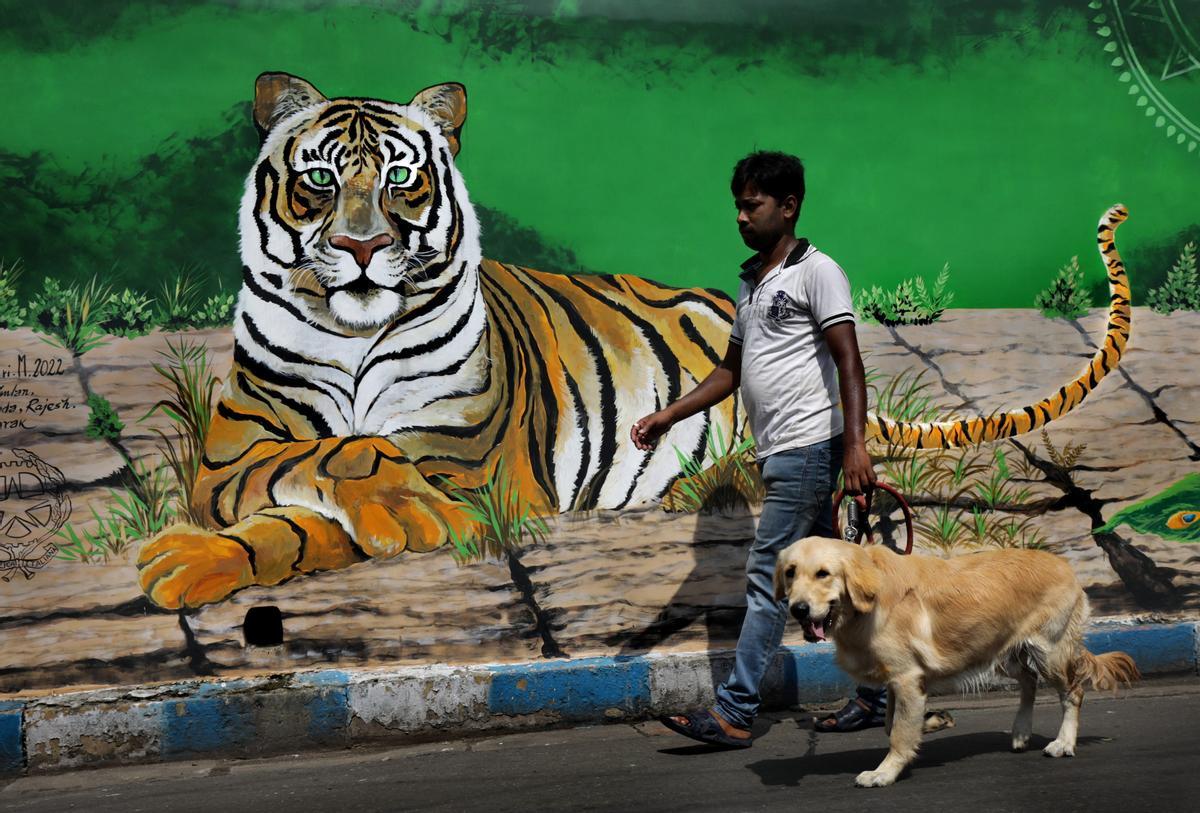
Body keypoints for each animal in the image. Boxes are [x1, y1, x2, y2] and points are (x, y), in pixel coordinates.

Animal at [136, 73, 1128, 611]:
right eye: (318, 180)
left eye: (401, 179)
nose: (362, 248)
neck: (354, 331)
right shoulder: (228, 453)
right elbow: (317, 464)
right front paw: (196, 555)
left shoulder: (475, 470)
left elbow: (339, 494)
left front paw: (401, 516)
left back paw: (709, 486)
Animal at [772, 542, 1137, 791]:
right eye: (790, 572)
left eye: (823, 573)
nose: (798, 609)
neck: (864, 606)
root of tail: (1064, 564)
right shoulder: (899, 681)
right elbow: (892, 725)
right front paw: (933, 721)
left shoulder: (906, 678)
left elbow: (898, 733)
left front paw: (884, 772)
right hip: (1001, 652)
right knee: (1028, 683)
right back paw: (1021, 731)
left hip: (1049, 651)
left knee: (1073, 692)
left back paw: (1064, 743)